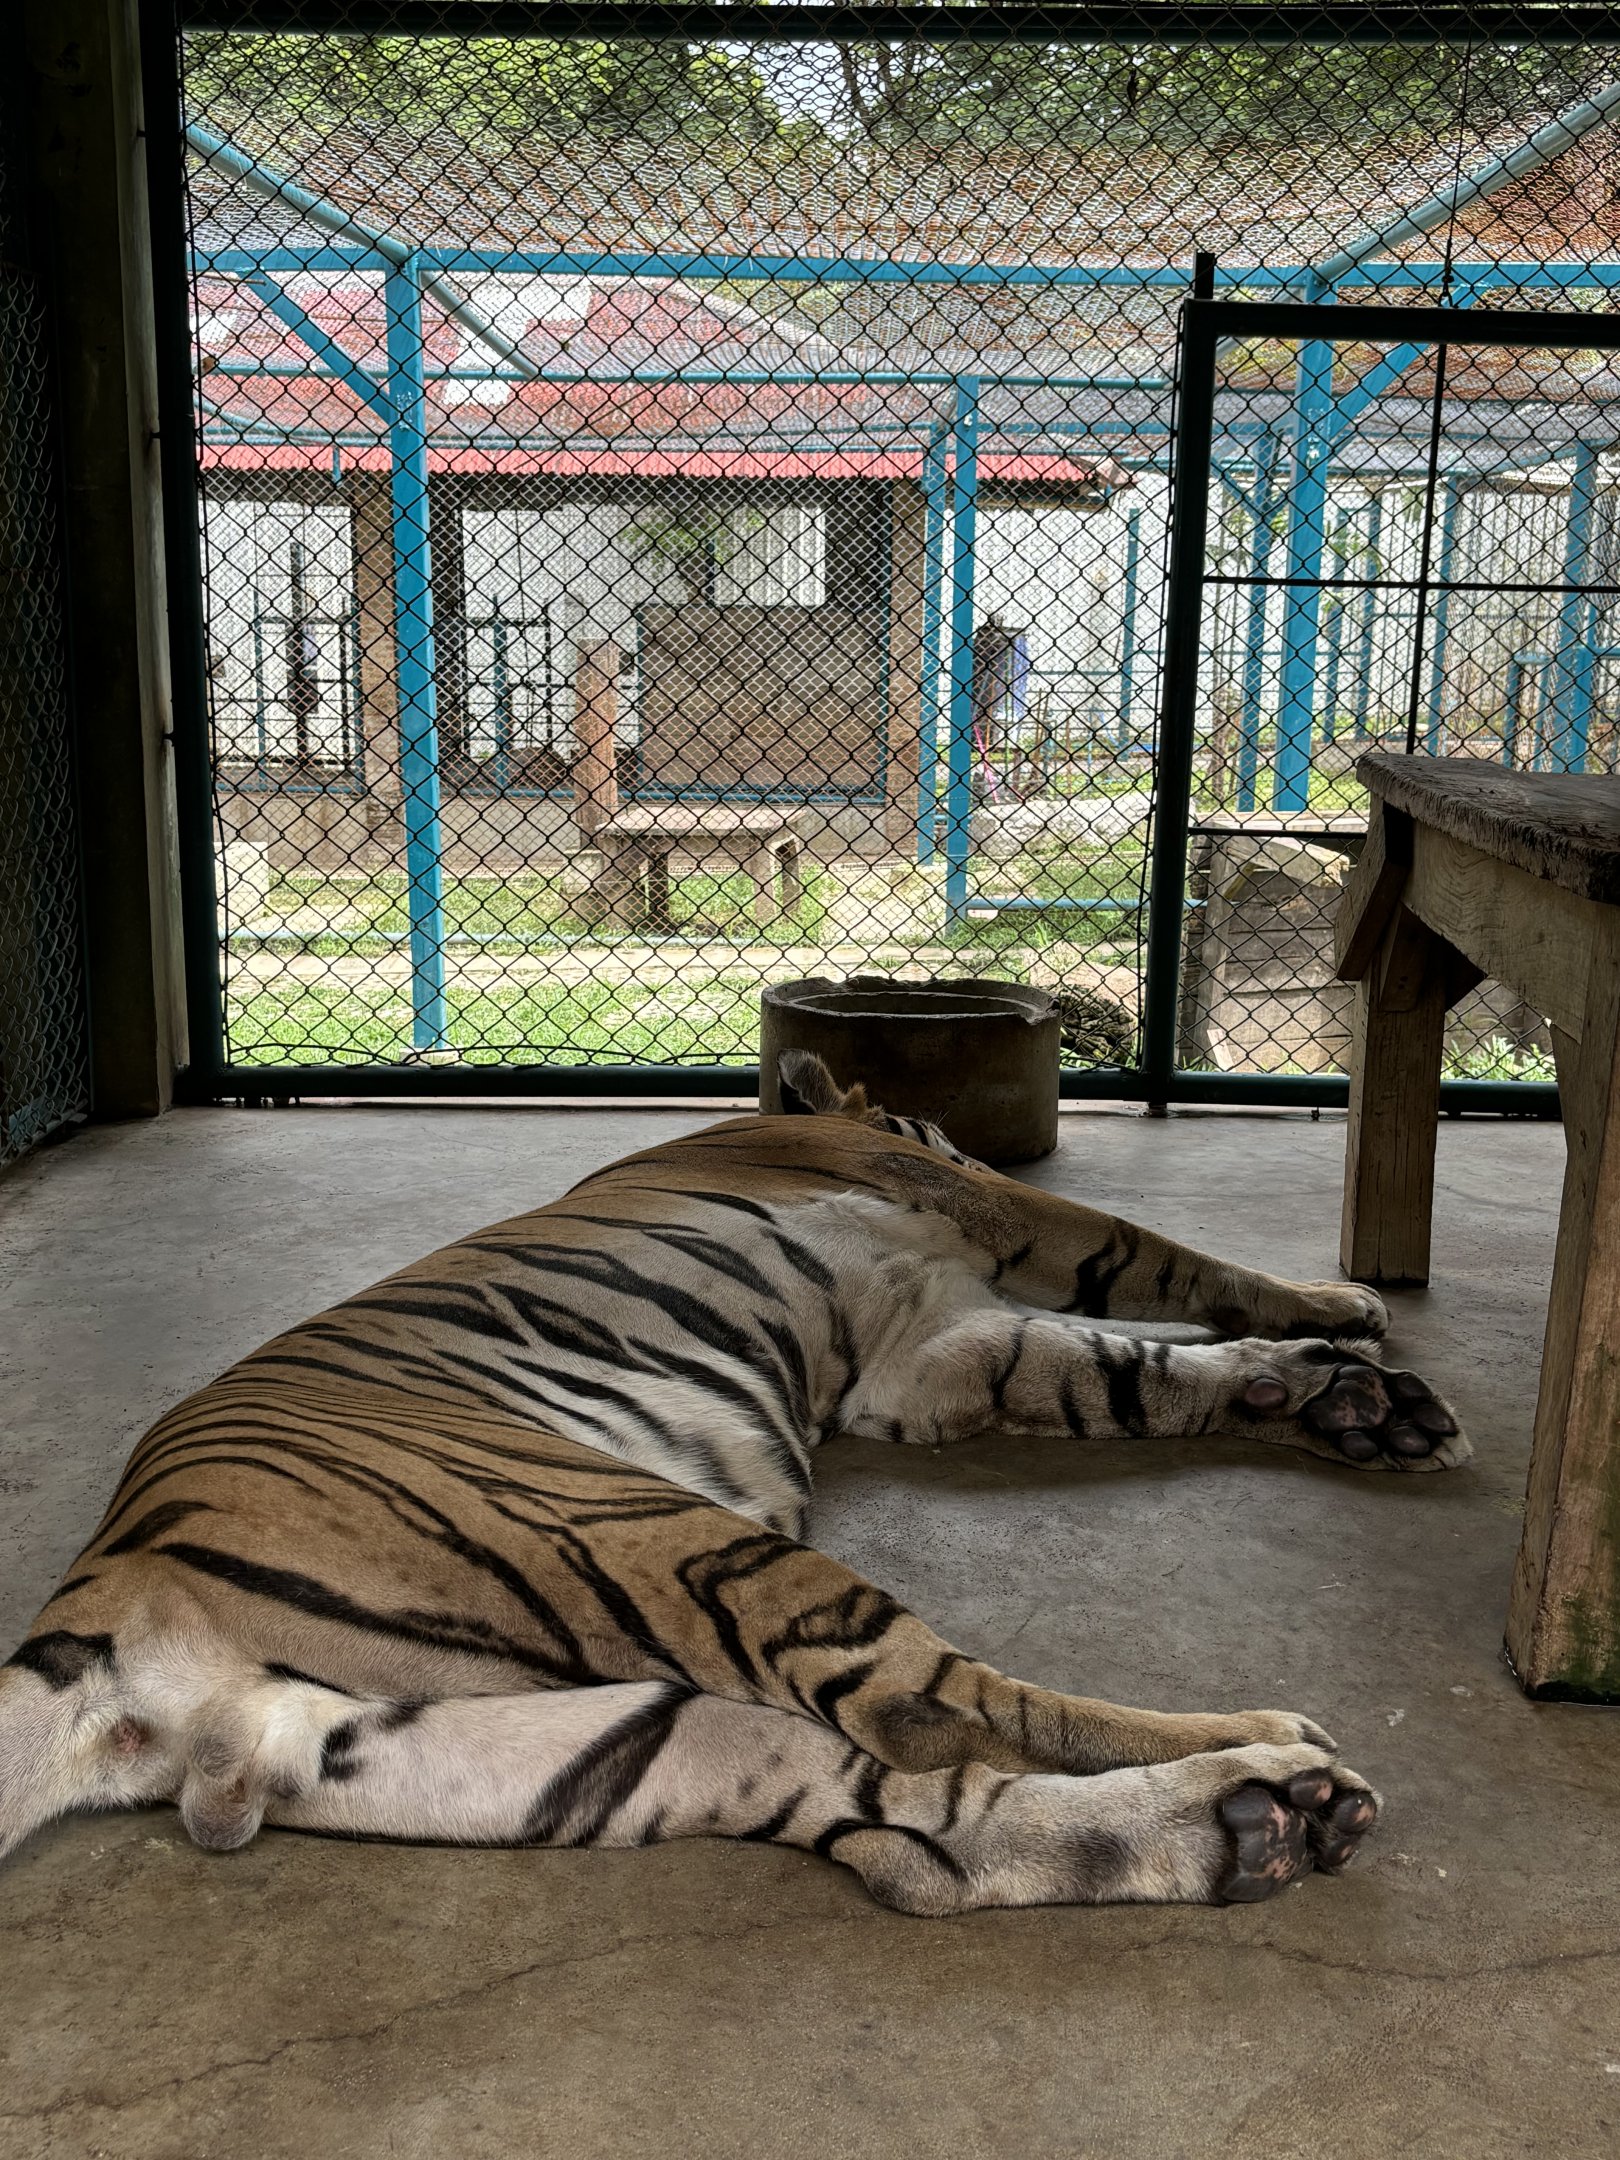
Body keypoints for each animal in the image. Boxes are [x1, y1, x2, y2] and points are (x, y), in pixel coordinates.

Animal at [0, 1052, 1470, 1913]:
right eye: (937, 1125)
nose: (950, 1130)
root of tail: (100, 1601)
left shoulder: (940, 1352)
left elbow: (1125, 1373)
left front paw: (1344, 1401)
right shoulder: (986, 1220)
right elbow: (1162, 1264)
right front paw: (1342, 1310)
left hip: (600, 1743)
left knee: (917, 1844)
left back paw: (1259, 1824)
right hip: (660, 1536)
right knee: (940, 1709)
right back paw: (1269, 1745)